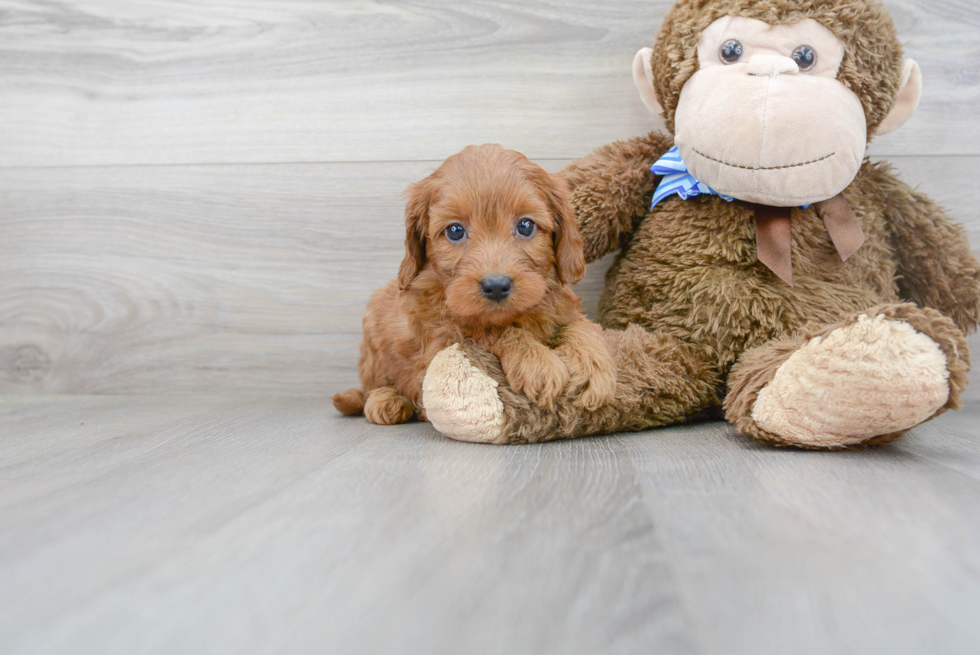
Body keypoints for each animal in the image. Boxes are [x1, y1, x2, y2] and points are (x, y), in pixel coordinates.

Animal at [334, 145, 616, 426]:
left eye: (525, 226)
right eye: (455, 231)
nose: (496, 286)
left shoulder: (562, 307)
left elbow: (580, 326)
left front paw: (591, 365)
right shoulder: (440, 341)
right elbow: (488, 332)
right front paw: (537, 362)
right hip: (372, 342)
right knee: (371, 386)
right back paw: (386, 400)